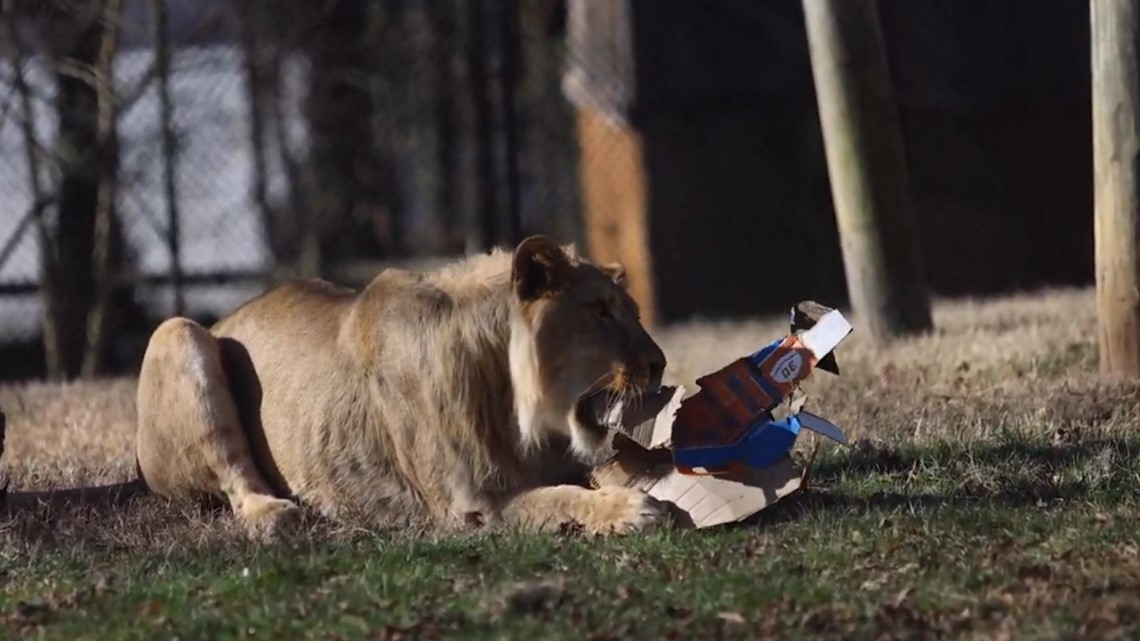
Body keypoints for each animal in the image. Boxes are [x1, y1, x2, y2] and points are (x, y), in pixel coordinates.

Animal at [22, 235, 667, 539]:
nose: (660, 364)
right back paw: (280, 515)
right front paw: (634, 509)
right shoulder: (472, 505)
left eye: (634, 311)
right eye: (599, 312)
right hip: (177, 334)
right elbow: (558, 500)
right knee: (235, 482)